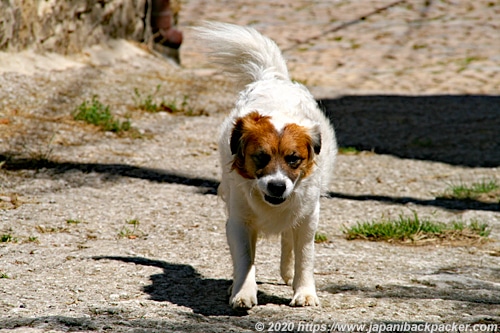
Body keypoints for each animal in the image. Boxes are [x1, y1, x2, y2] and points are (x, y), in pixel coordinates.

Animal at [195, 22, 336, 308]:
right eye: (261, 157)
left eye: (293, 159)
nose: (277, 186)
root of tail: (273, 79)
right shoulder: (238, 221)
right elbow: (245, 259)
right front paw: (242, 291)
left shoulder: (308, 217)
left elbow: (305, 256)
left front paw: (304, 291)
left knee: (288, 239)